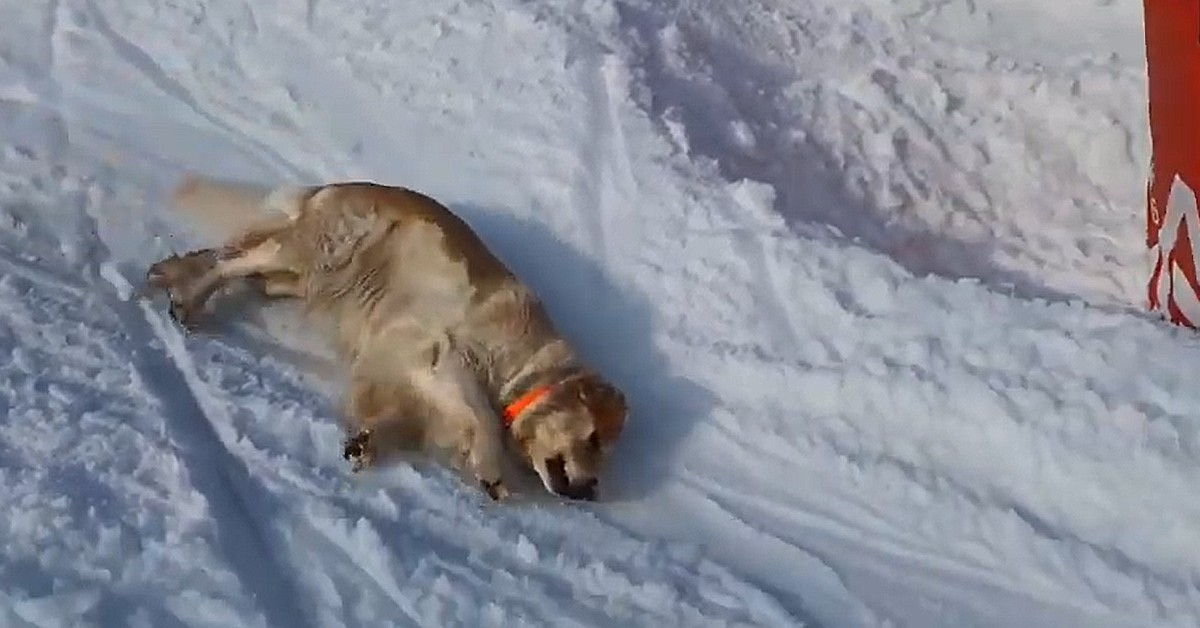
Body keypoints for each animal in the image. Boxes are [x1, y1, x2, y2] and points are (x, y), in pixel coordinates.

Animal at [141, 176, 628, 501]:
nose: (589, 491)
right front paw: (490, 467)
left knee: (232, 258)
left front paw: (368, 442)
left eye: (603, 453)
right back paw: (190, 300)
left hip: (293, 280)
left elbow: (396, 416)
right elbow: (485, 417)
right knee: (232, 264)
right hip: (320, 251)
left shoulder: (399, 370)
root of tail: (329, 187)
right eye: (592, 439)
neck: (521, 362)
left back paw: (171, 272)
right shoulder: (443, 354)